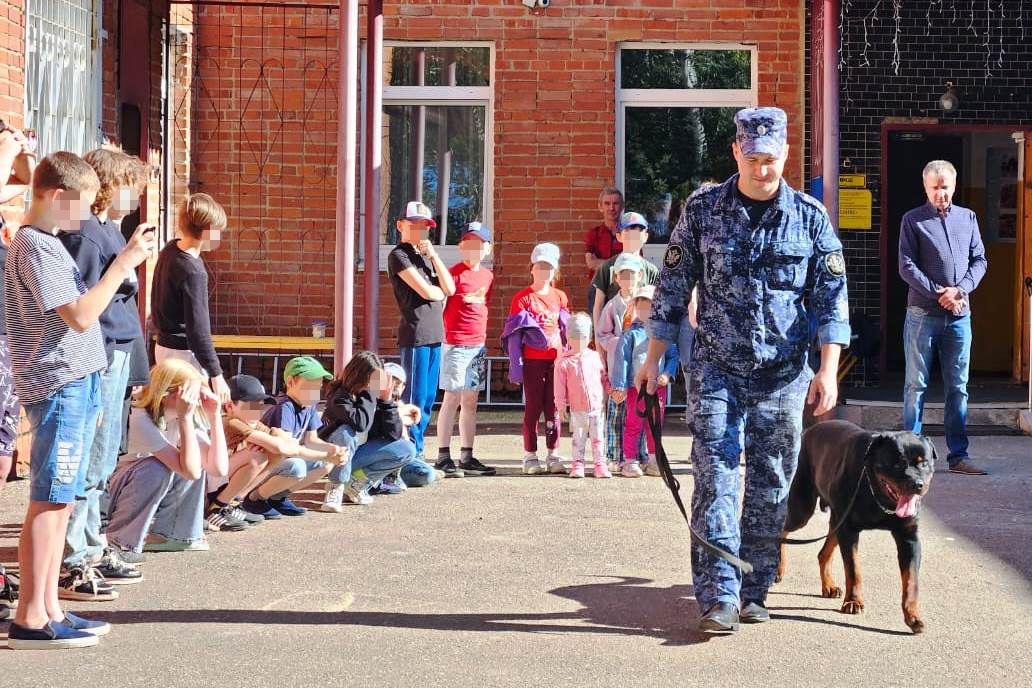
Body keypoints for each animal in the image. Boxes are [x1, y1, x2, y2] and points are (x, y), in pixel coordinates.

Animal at [776, 420, 941, 635]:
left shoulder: (909, 537)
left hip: (837, 517)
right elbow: (854, 569)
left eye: (924, 463)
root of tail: (809, 430)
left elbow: (911, 580)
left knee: (823, 552)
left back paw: (829, 586)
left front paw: (913, 615)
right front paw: (853, 601)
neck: (877, 495)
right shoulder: (849, 530)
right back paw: (777, 568)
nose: (917, 484)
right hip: (802, 508)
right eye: (897, 463)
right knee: (782, 529)